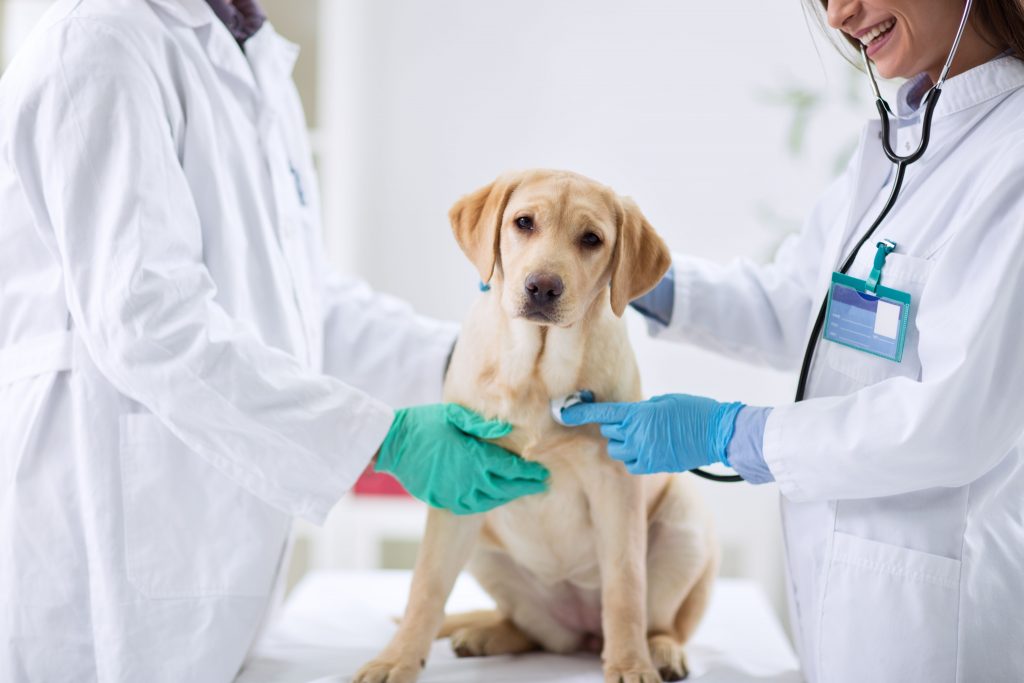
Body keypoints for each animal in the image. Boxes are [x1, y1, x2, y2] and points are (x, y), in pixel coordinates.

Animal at [356, 171, 716, 683]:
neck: (536, 369)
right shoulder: (457, 485)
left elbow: (626, 587)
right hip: (486, 549)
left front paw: (630, 664)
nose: (542, 287)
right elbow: (425, 585)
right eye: (523, 223)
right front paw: (397, 659)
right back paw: (487, 634)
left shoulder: (615, 485)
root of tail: (584, 633)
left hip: (684, 523)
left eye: (592, 239)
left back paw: (660, 651)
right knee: (533, 632)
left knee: (660, 621)